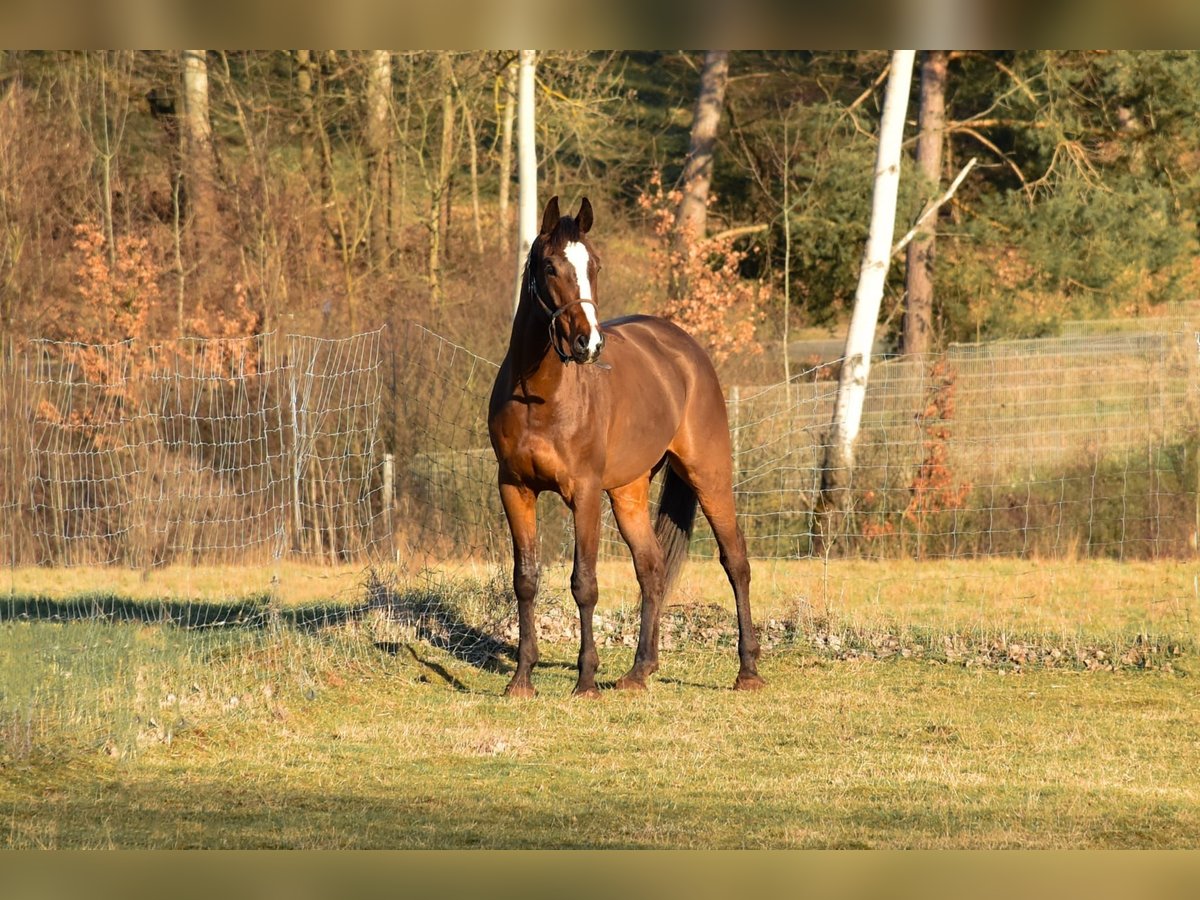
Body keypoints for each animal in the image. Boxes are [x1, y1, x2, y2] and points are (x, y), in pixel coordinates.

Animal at [484, 195, 758, 696]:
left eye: (594, 265)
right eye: (550, 267)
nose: (589, 344)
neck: (538, 396)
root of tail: (687, 350)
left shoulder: (585, 492)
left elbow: (584, 583)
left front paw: (586, 680)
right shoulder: (515, 488)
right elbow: (525, 580)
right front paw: (522, 679)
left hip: (708, 475)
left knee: (735, 561)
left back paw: (747, 670)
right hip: (629, 491)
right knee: (651, 567)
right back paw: (639, 671)